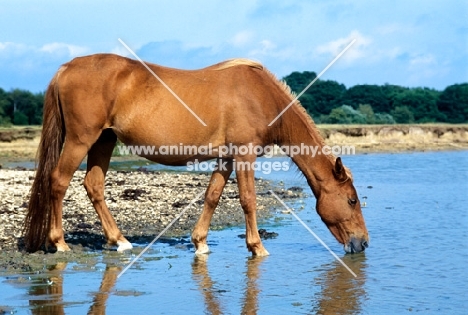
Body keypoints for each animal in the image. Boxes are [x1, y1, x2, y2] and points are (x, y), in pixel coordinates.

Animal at [23, 54, 370, 256]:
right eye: (352, 200)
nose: (363, 243)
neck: (261, 96)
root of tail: (66, 67)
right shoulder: (244, 156)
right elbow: (248, 199)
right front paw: (257, 247)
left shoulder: (227, 158)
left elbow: (212, 196)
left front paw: (199, 242)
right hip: (81, 139)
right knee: (58, 181)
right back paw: (59, 243)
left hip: (104, 140)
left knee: (93, 185)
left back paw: (118, 239)